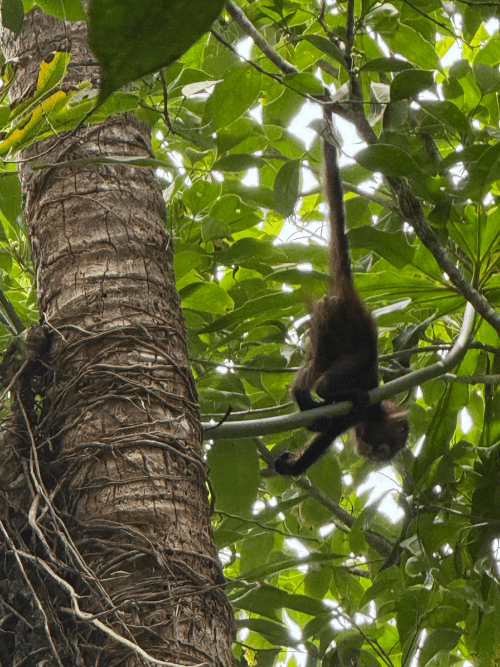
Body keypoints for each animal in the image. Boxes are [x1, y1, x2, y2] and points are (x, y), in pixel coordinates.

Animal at [273, 118, 409, 476]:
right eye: (384, 446)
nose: (375, 453)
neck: (373, 412)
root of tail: (350, 295)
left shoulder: (351, 419)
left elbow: (323, 436)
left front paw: (290, 465)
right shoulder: (364, 394)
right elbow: (332, 391)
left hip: (324, 329)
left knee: (312, 365)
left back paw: (301, 394)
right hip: (339, 331)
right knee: (323, 382)